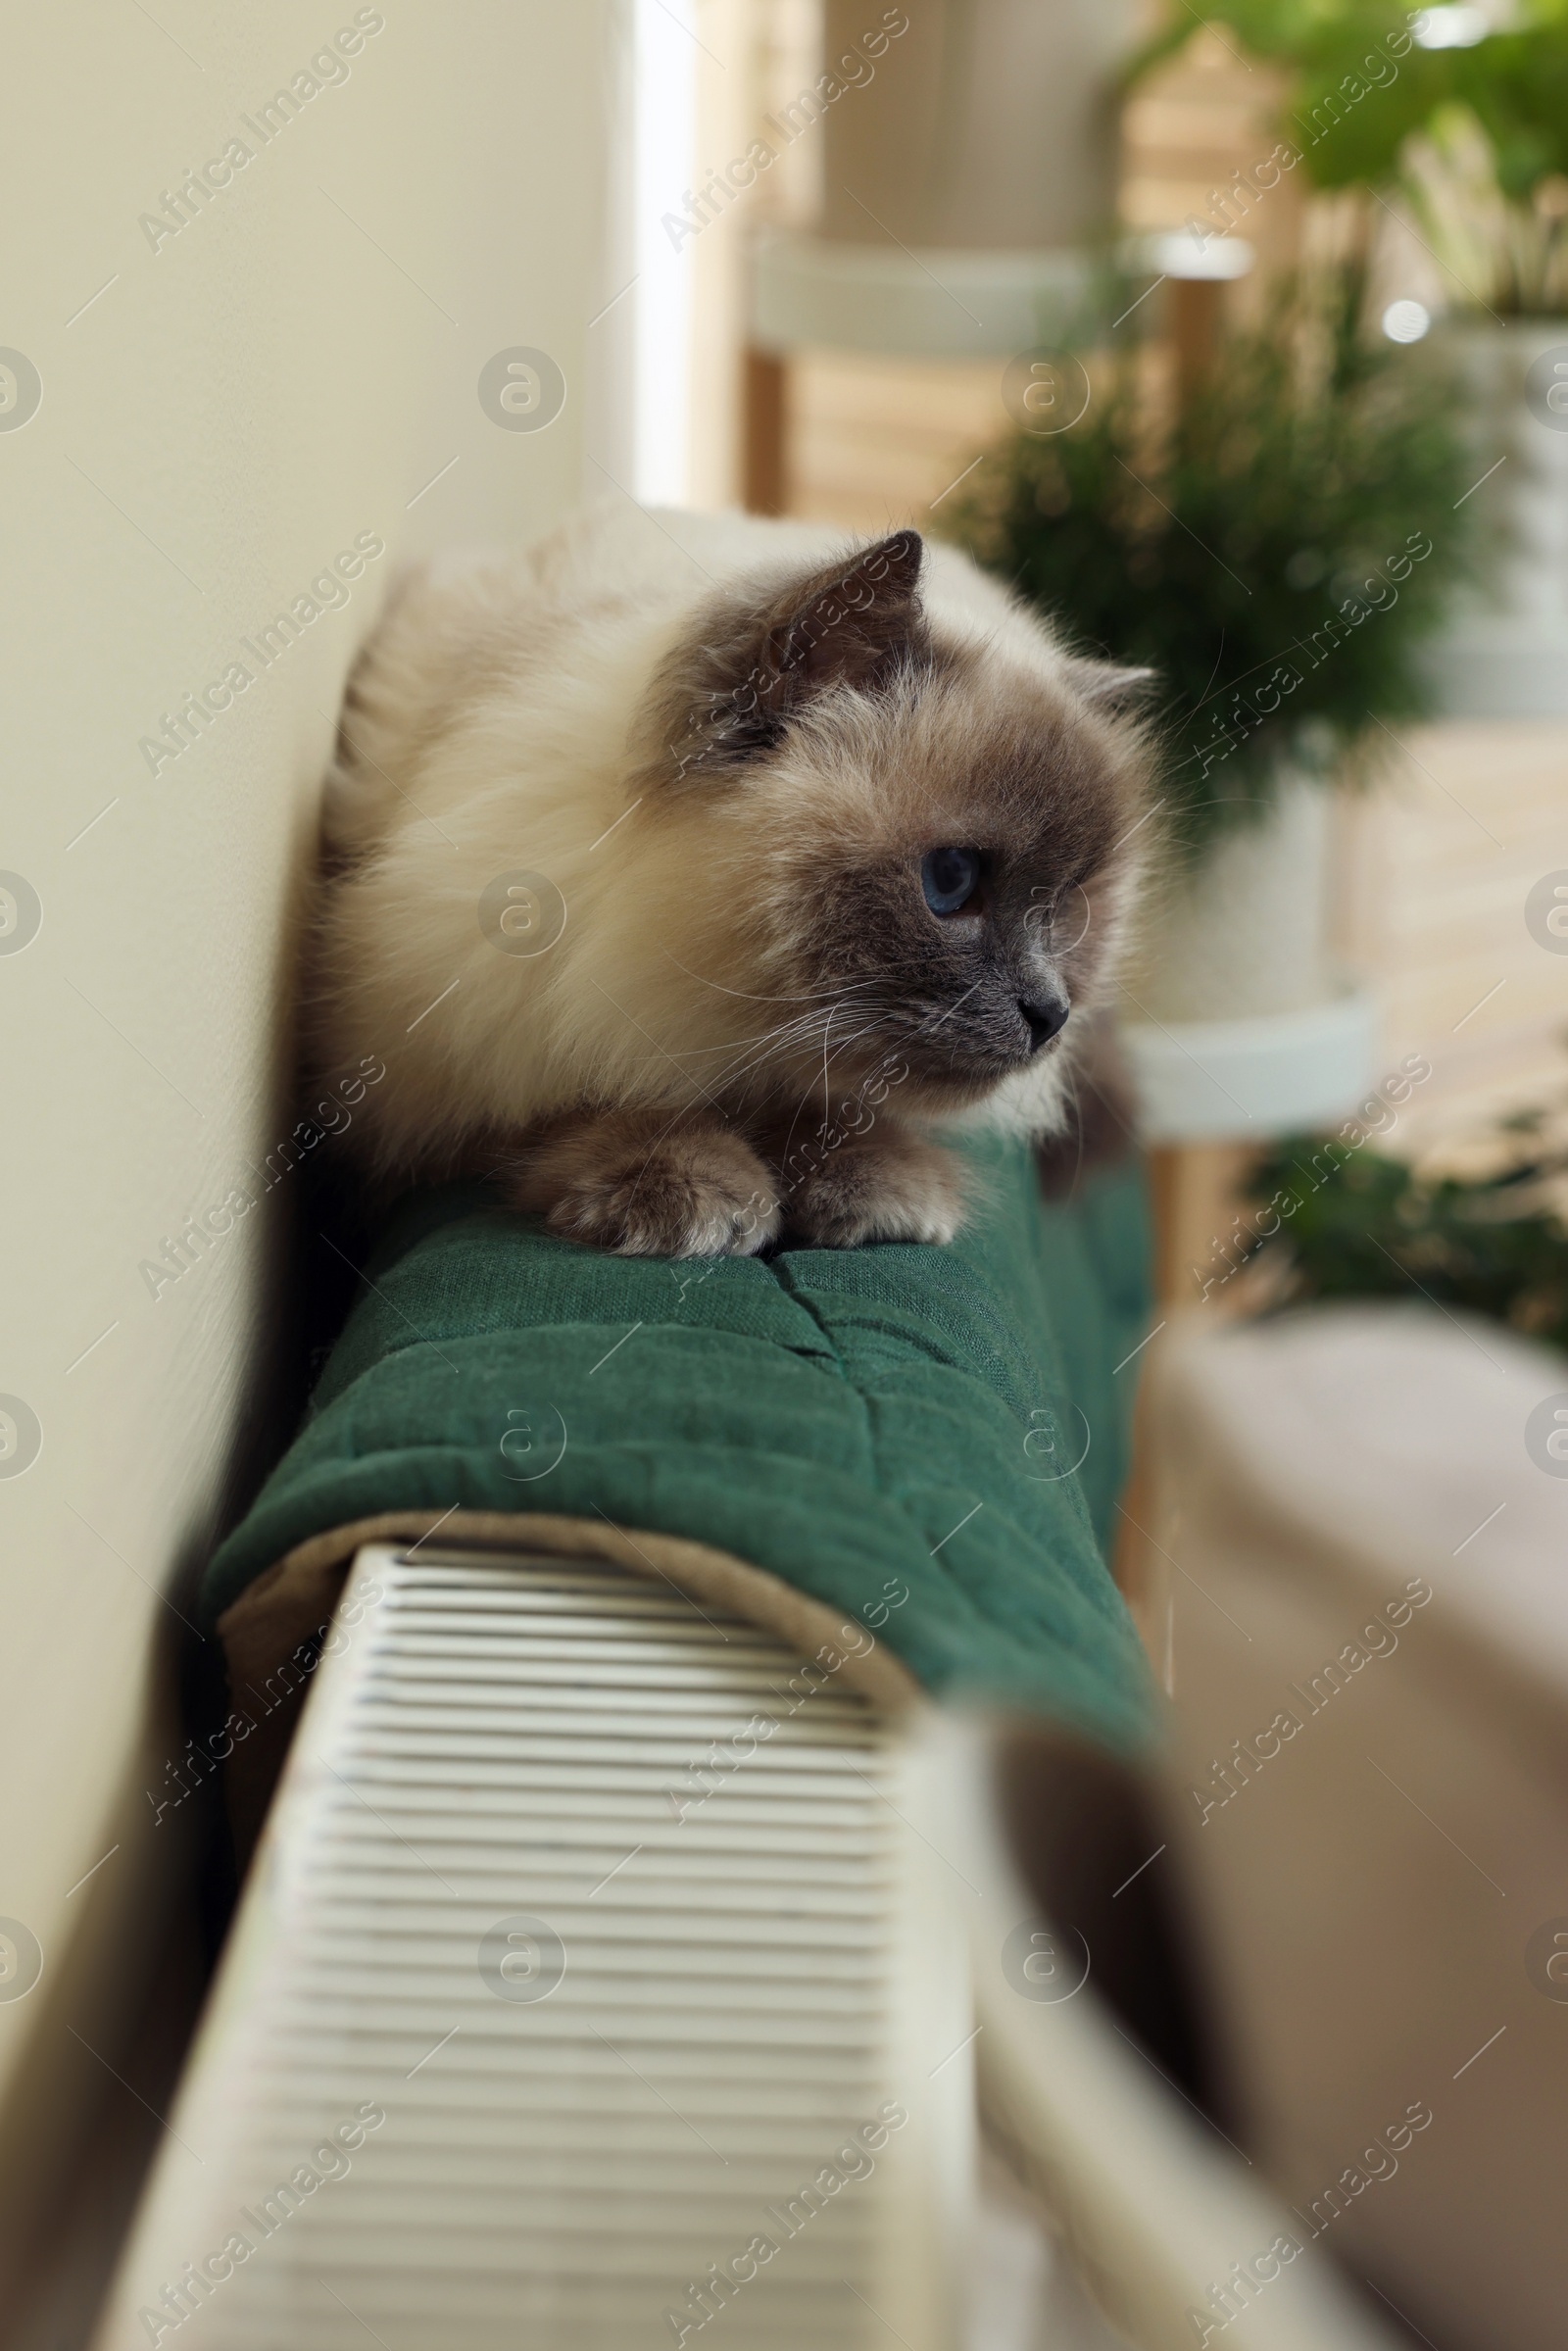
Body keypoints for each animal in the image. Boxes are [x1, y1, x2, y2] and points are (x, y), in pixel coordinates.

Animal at [313, 505, 1152, 1259]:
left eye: (1067, 905)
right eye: (951, 880)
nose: (1051, 1014)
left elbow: (828, 1106)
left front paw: (872, 1188)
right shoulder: (437, 1058)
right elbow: (568, 1107)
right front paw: (690, 1193)